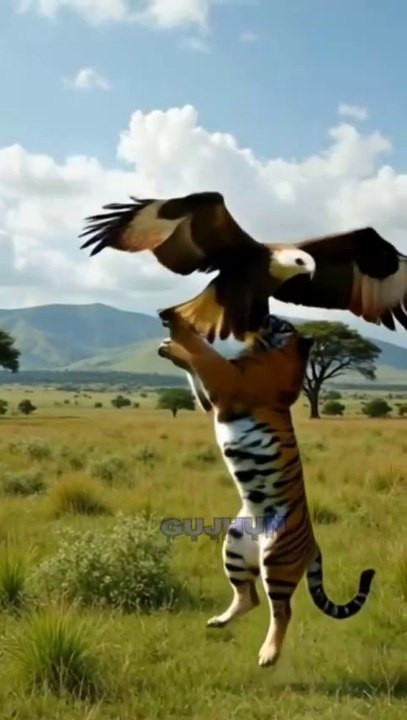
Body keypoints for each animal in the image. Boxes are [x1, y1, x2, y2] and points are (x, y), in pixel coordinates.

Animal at [157, 310, 375, 667]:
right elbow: (194, 366)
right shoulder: (214, 397)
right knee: (250, 598)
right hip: (234, 544)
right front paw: (168, 349)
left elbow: (204, 355)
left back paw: (268, 655)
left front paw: (178, 327)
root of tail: (314, 545)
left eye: (281, 321)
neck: (270, 352)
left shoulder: (229, 383)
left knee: (282, 610)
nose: (266, 313)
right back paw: (219, 621)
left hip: (277, 561)